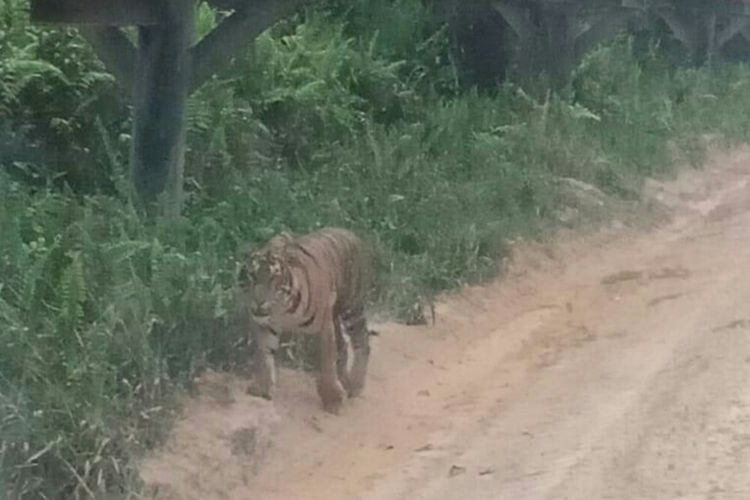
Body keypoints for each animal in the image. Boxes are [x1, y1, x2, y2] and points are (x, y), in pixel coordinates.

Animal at [238, 227, 376, 414]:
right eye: (252, 275)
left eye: (273, 278)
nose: (259, 302)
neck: (283, 309)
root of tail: (349, 232)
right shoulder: (266, 325)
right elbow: (265, 355)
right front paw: (261, 388)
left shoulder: (324, 326)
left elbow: (326, 361)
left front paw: (332, 399)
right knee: (343, 346)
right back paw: (346, 382)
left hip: (351, 307)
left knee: (362, 340)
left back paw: (355, 384)